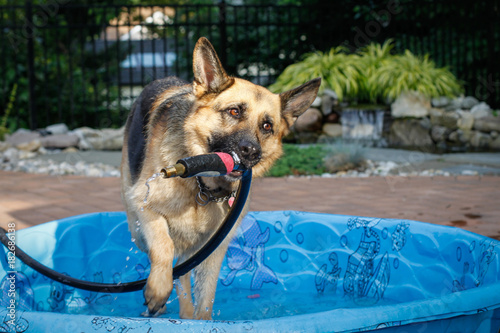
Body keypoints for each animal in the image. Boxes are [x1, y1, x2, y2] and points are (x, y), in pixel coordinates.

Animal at [120, 37, 320, 320]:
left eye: (267, 126)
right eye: (234, 112)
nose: (251, 152)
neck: (202, 187)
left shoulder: (214, 249)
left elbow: (206, 297)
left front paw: (200, 320)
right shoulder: (145, 205)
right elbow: (163, 246)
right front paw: (158, 289)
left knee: (183, 274)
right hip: (136, 229)